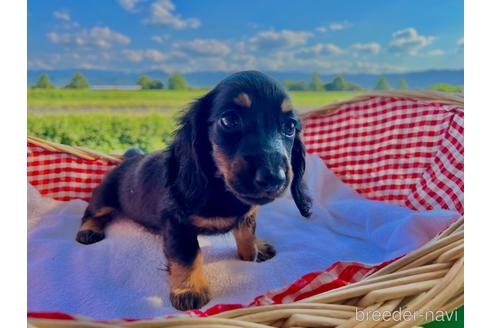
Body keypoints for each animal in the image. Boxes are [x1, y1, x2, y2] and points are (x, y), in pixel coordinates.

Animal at [74, 70, 312, 312]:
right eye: (230, 120)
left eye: (290, 127)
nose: (274, 178)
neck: (221, 190)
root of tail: (127, 159)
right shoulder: (176, 223)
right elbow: (188, 255)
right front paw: (189, 289)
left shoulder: (247, 214)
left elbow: (246, 235)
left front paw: (254, 250)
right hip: (104, 198)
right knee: (90, 213)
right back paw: (88, 230)